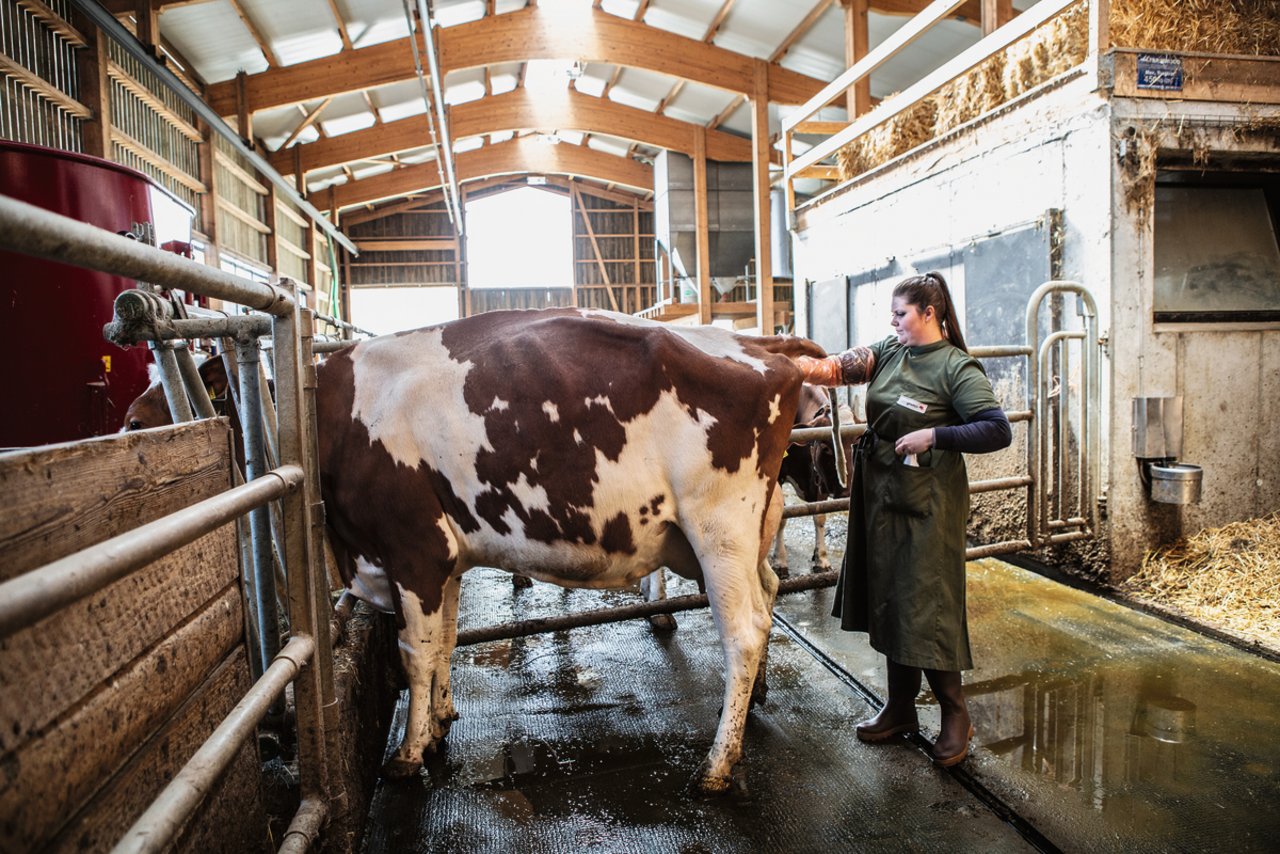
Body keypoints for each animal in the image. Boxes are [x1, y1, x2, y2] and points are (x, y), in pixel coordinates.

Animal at [314, 308, 824, 793]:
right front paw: (440, 723)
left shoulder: (412, 549)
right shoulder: (446, 561)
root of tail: (753, 343)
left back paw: (716, 766)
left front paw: (407, 752)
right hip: (746, 534)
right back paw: (751, 704)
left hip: (720, 530)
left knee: (744, 633)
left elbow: (416, 656)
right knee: (767, 592)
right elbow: (445, 640)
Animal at [762, 386, 855, 573]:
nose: (846, 492)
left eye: (856, 441)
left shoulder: (819, 480)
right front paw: (780, 560)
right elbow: (782, 516)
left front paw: (821, 558)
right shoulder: (778, 475)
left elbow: (819, 517)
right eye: (826, 447)